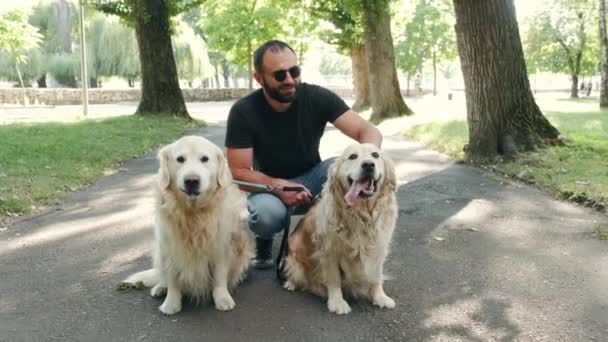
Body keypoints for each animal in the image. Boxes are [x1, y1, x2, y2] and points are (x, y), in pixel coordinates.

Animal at [121, 136, 254, 316]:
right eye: (180, 159)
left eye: (204, 159)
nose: (191, 181)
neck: (193, 213)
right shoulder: (169, 247)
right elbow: (172, 279)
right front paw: (171, 303)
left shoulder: (220, 245)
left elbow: (219, 277)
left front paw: (222, 298)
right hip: (159, 252)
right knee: (162, 275)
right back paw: (160, 288)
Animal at [284, 142, 400, 316]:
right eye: (352, 156)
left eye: (375, 155)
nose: (368, 165)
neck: (361, 214)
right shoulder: (328, 251)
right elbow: (334, 279)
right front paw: (337, 302)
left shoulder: (379, 247)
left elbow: (376, 276)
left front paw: (379, 296)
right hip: (293, 258)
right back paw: (291, 283)